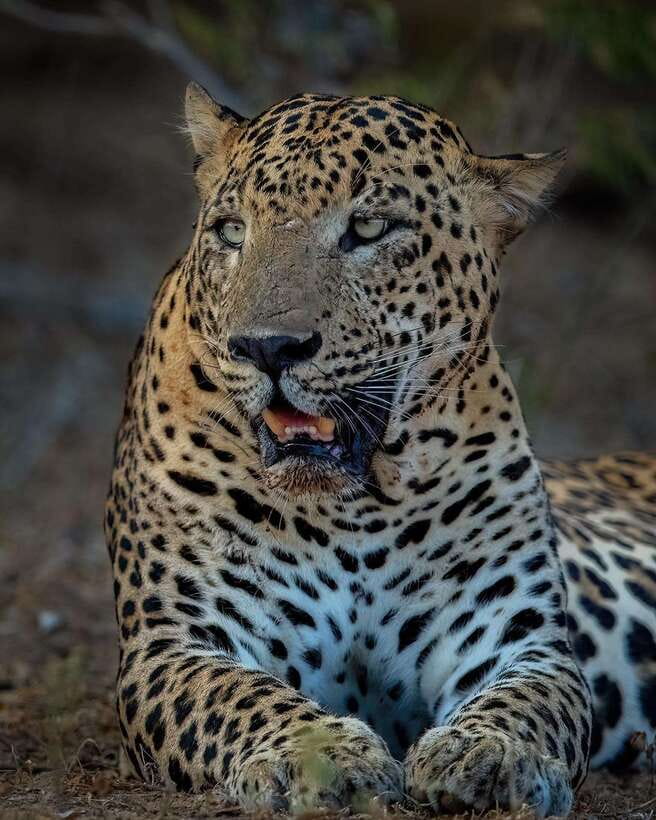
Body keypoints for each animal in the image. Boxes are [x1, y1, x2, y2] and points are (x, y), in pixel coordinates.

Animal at [105, 83, 656, 818]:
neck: (355, 505)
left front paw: (485, 753)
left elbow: (525, 705)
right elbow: (245, 697)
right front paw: (316, 757)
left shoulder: (519, 637)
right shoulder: (176, 642)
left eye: (368, 231)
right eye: (231, 231)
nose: (266, 348)